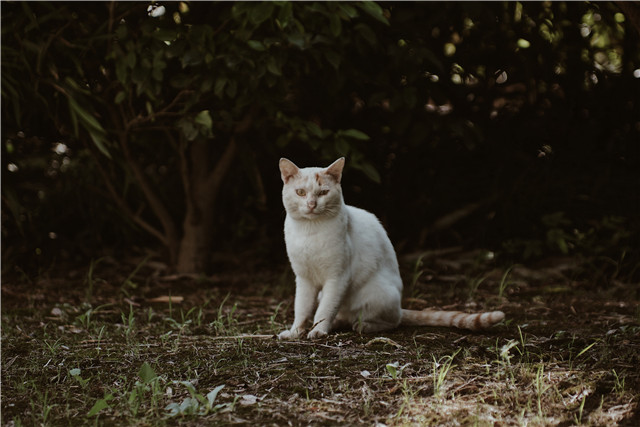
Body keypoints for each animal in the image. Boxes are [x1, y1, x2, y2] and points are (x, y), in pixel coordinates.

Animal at [278, 157, 502, 342]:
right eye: (300, 192)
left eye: (323, 192)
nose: (311, 204)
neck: (309, 232)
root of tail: (401, 306)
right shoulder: (304, 279)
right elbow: (302, 309)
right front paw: (296, 332)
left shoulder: (337, 277)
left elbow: (324, 310)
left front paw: (318, 331)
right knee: (343, 314)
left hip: (378, 294)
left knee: (391, 321)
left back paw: (363, 325)